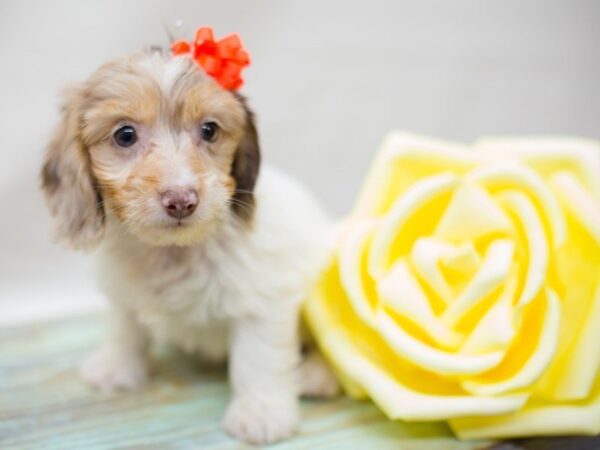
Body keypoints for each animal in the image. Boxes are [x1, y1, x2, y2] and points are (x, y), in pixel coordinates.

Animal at [39, 51, 338, 444]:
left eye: (209, 130)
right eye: (125, 135)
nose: (181, 200)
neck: (174, 251)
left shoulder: (264, 302)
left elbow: (257, 360)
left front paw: (260, 414)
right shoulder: (123, 290)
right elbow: (125, 325)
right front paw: (116, 366)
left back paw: (317, 375)